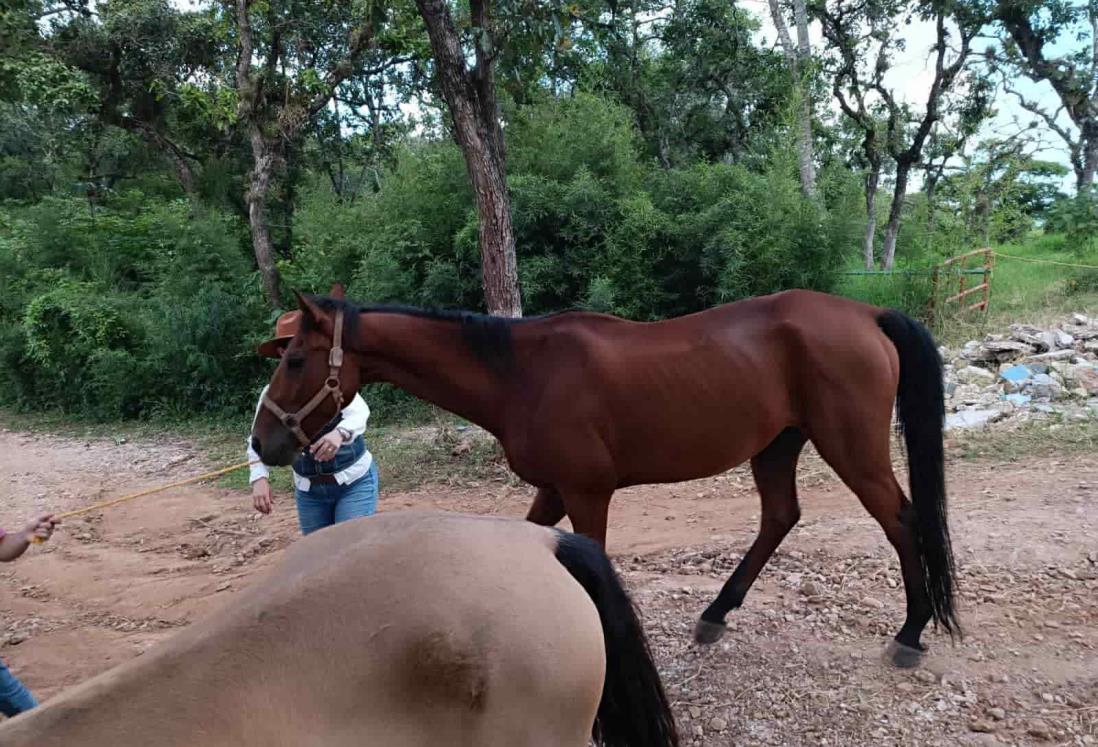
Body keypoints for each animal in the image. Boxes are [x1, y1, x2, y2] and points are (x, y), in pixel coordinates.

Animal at [252, 287, 957, 667]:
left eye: (294, 359)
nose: (262, 442)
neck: (521, 375)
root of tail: (867, 314)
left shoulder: (588, 495)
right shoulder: (553, 491)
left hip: (851, 449)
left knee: (900, 518)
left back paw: (911, 633)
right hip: (777, 447)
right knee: (780, 517)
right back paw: (716, 614)